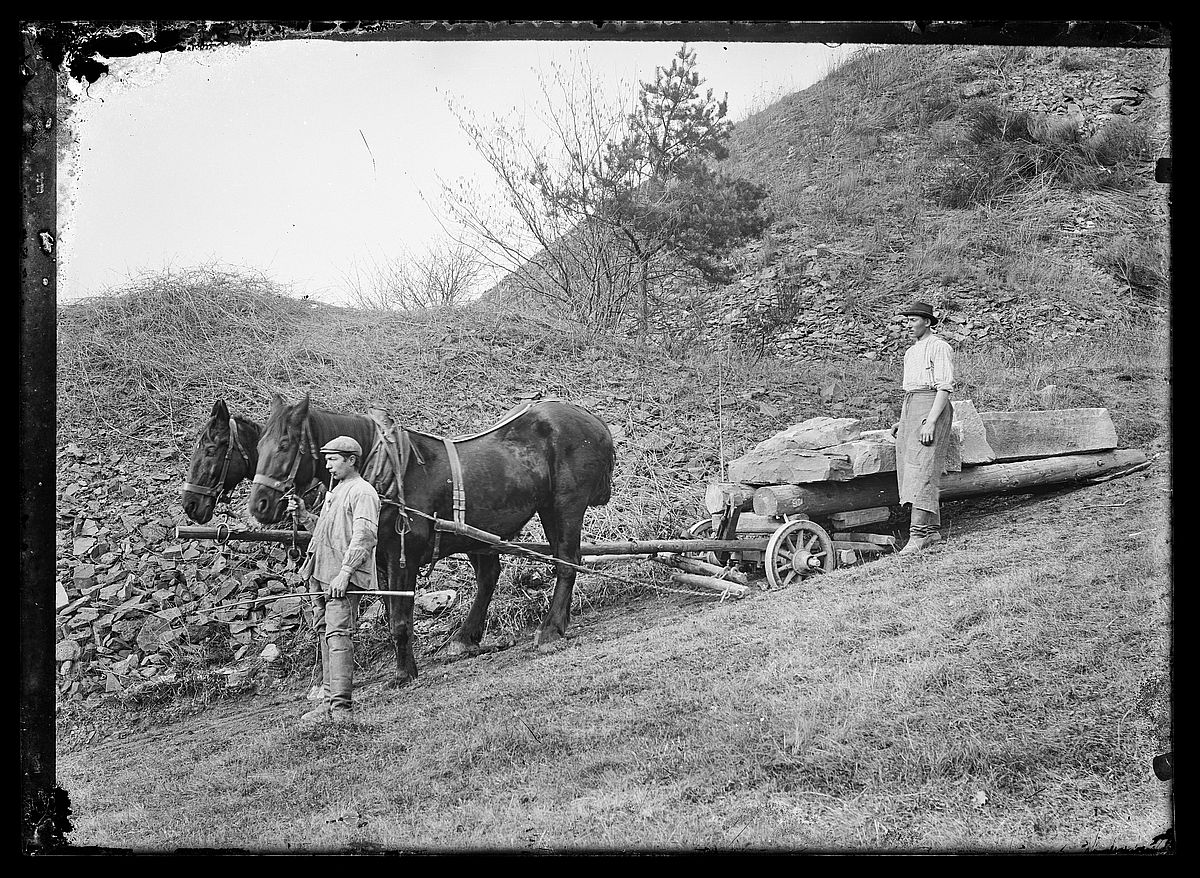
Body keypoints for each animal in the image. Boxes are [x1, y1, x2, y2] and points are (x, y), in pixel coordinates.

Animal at [247, 393, 614, 686]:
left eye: (284, 445)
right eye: (258, 446)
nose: (259, 505)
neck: (388, 472)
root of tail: (593, 420)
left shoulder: (402, 558)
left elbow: (399, 620)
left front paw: (403, 673)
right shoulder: (382, 561)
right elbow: (394, 615)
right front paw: (406, 666)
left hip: (564, 506)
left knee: (566, 562)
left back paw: (551, 628)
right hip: (481, 530)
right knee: (490, 576)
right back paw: (465, 638)